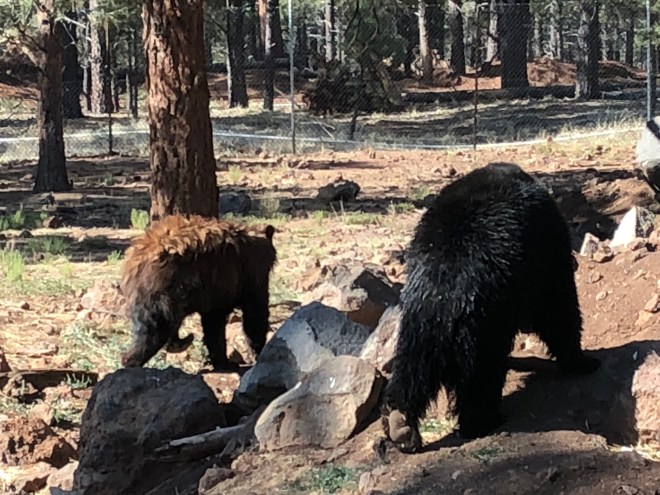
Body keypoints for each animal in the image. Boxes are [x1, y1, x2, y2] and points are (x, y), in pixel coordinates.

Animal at [120, 214, 277, 372]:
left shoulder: (215, 291)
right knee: (156, 328)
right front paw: (251, 354)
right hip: (164, 290)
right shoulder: (248, 276)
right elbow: (254, 312)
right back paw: (135, 361)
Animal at [381, 162, 600, 453]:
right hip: (484, 322)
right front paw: (583, 361)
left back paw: (401, 424)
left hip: (419, 325)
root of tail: (442, 293)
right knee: (481, 376)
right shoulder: (547, 251)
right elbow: (558, 307)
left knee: (413, 369)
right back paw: (484, 420)